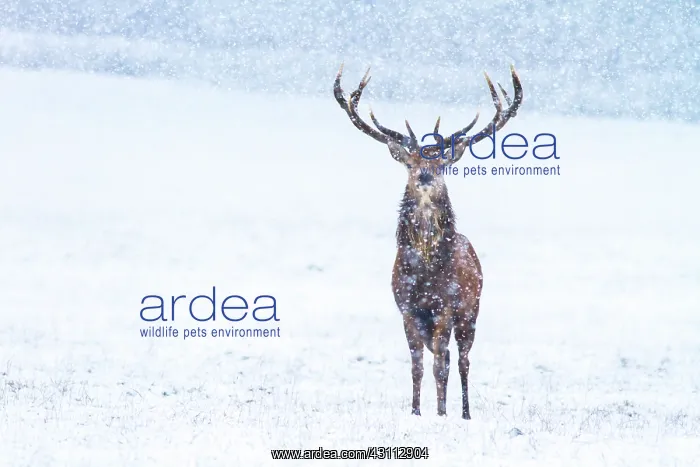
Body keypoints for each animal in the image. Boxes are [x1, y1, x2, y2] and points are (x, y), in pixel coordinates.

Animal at [333, 64, 522, 419]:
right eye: (410, 162)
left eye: (441, 163)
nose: (424, 176)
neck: (424, 273)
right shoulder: (407, 308)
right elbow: (417, 365)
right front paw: (417, 411)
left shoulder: (445, 306)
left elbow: (441, 366)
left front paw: (441, 413)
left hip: (470, 312)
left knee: (461, 360)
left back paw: (463, 412)